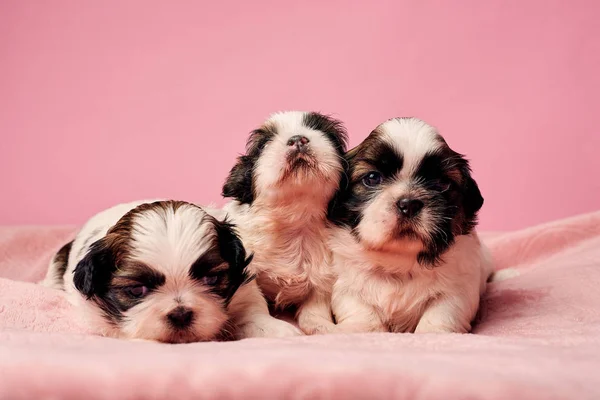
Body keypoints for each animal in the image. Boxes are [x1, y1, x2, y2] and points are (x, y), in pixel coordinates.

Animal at [223, 110, 350, 334]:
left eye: (324, 132)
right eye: (264, 144)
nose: (298, 139)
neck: (295, 223)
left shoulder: (322, 279)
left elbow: (314, 310)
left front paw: (325, 327)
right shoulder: (249, 271)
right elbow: (255, 304)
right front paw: (277, 328)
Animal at [328, 118, 492, 334]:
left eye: (442, 184)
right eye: (372, 178)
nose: (409, 204)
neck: (400, 263)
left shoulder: (457, 290)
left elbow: (441, 312)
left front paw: (433, 332)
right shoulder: (346, 285)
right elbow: (360, 309)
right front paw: (365, 328)